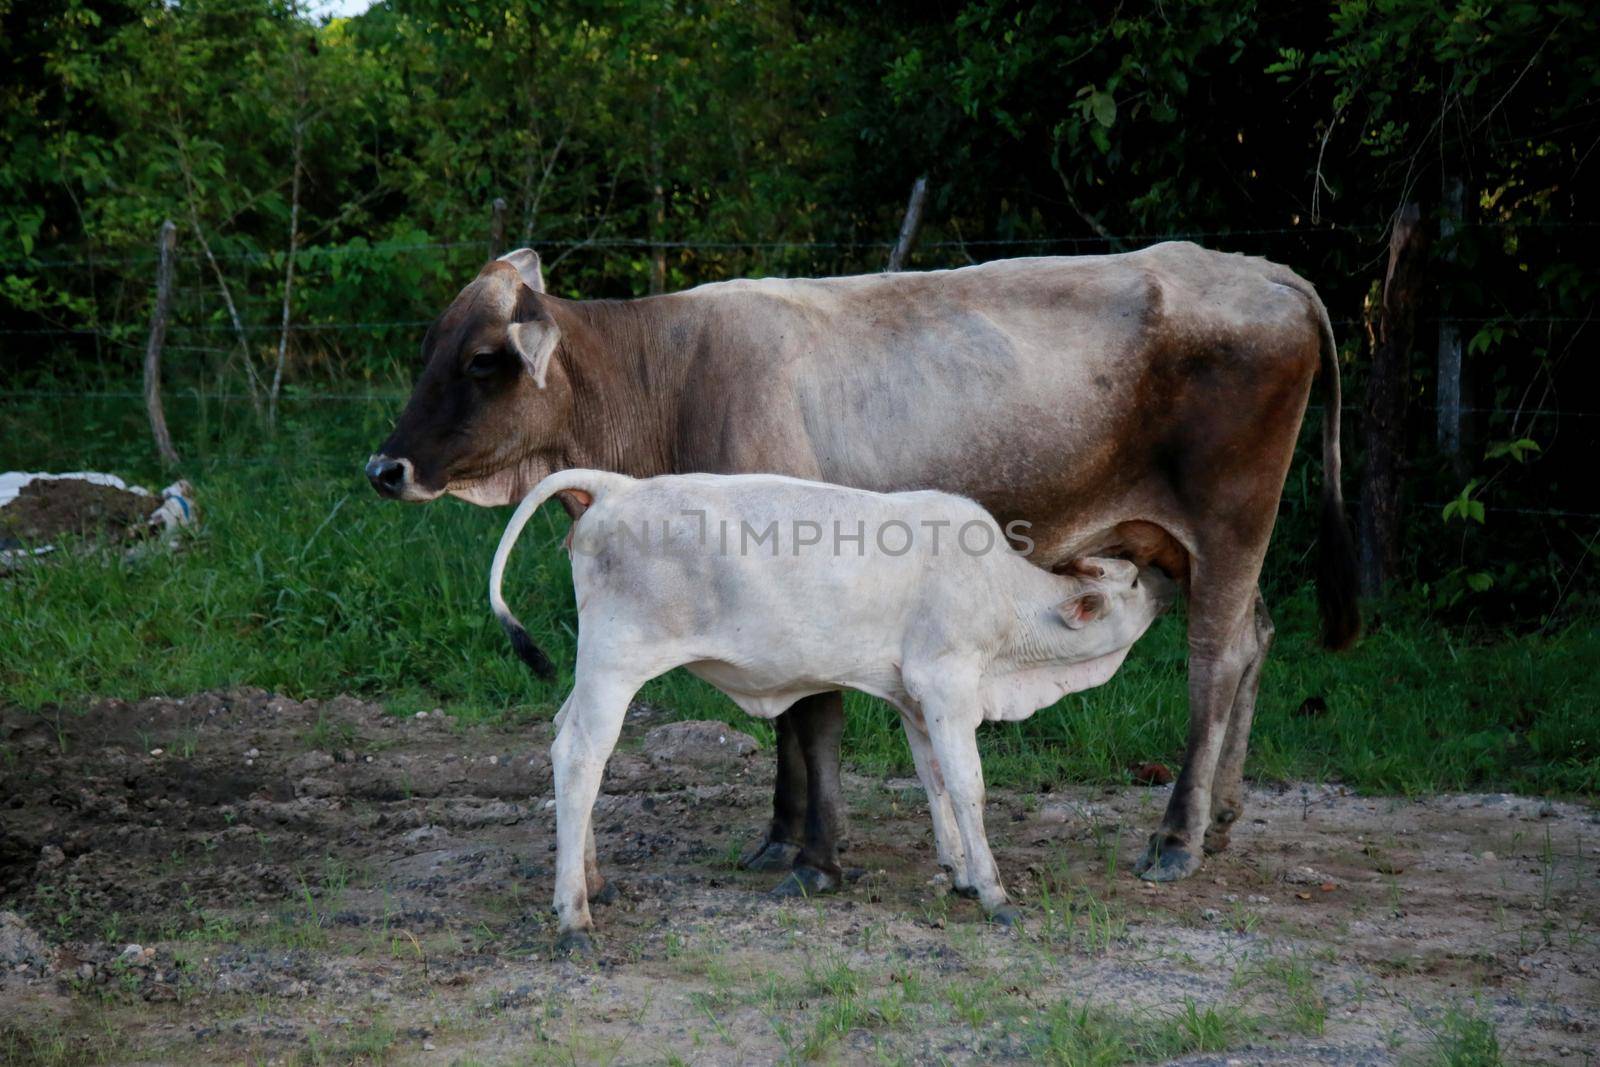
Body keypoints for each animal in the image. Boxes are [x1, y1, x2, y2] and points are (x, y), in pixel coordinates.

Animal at [368, 246, 1356, 889]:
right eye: (429, 348)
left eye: (484, 360)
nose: (386, 468)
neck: (664, 379)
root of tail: (1266, 271)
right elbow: (789, 724)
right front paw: (780, 837)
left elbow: (815, 720)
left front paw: (816, 856)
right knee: (1258, 639)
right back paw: (1222, 818)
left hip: (1229, 525)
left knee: (1214, 662)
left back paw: (1178, 837)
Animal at [489, 470, 1177, 947]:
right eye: (1131, 582)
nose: (1169, 582)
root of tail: (618, 487)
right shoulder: (948, 681)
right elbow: (968, 786)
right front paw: (994, 892)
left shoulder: (914, 698)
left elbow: (934, 781)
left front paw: (958, 871)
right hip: (615, 663)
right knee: (579, 756)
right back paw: (574, 916)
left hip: (595, 670)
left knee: (564, 737)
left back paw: (593, 881)